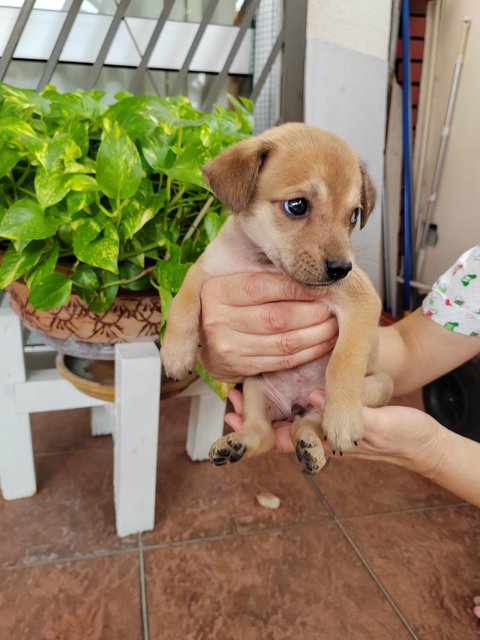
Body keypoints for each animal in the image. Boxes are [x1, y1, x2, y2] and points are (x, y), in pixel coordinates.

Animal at [159, 126, 392, 476]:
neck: (265, 263)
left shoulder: (362, 300)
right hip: (255, 388)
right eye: (297, 205)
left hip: (378, 386)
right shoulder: (206, 269)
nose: (342, 269)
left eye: (354, 215)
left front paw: (343, 421)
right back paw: (237, 444)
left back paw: (311, 447)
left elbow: (344, 361)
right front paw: (175, 352)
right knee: (265, 434)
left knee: (306, 426)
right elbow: (182, 302)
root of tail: (295, 406)